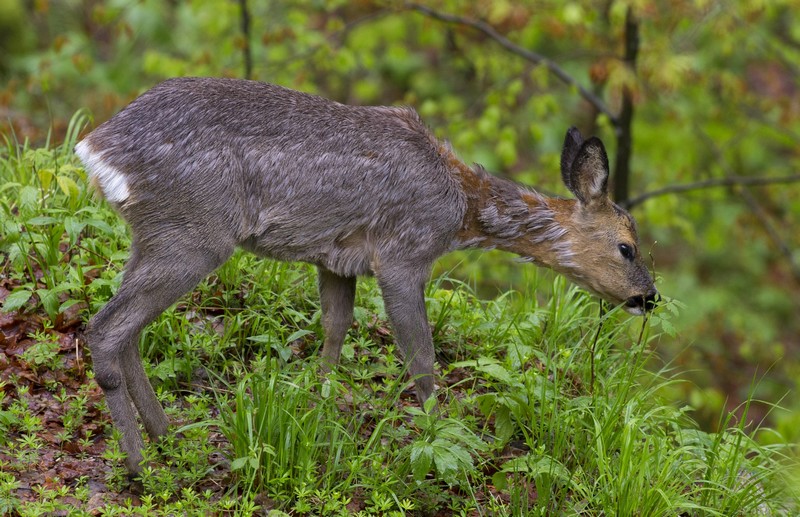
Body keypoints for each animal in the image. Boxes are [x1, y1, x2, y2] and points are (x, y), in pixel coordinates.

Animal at [75, 75, 656, 472]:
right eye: (626, 247)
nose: (648, 297)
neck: (461, 208)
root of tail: (96, 150)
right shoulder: (403, 255)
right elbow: (421, 359)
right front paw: (441, 435)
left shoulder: (337, 262)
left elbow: (335, 331)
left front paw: (318, 410)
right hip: (195, 232)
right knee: (106, 328)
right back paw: (139, 464)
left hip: (154, 235)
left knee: (128, 330)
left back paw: (167, 438)